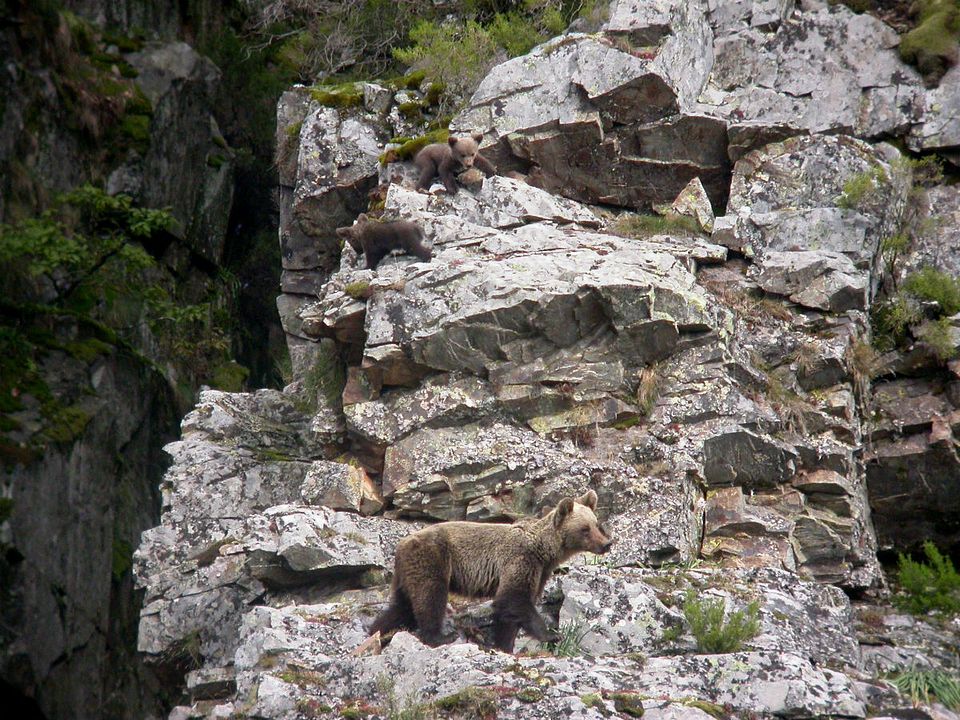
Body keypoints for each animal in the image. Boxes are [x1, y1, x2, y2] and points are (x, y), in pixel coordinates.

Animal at [367, 489, 613, 653]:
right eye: (585, 529)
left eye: (596, 523)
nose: (606, 544)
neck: (544, 551)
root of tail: (401, 544)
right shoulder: (521, 560)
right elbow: (513, 599)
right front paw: (551, 635)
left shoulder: (540, 571)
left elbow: (511, 611)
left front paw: (505, 645)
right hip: (433, 558)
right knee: (430, 596)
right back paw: (440, 636)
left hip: (407, 571)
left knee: (401, 606)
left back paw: (376, 631)